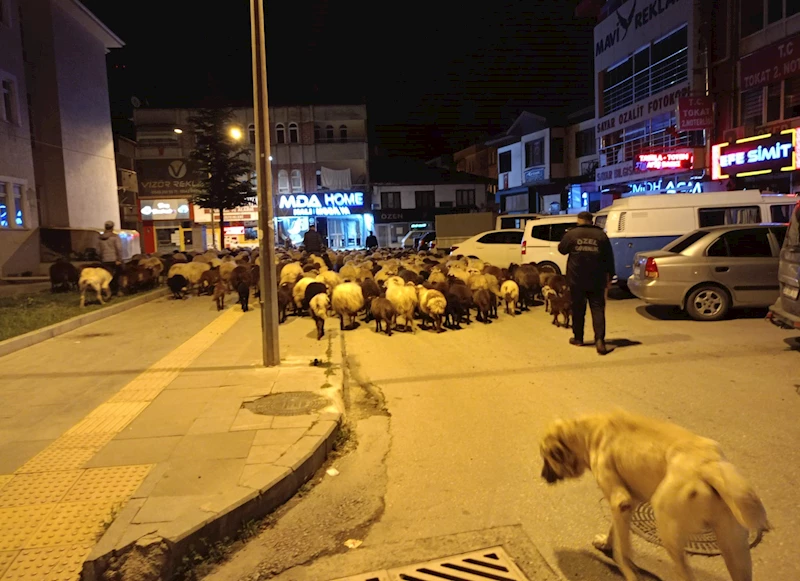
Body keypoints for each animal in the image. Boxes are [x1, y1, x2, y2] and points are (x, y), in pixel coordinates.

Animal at [536, 410, 768, 580]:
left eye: (546, 458)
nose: (542, 477)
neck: (586, 432)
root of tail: (708, 464)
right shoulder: (628, 502)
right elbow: (614, 528)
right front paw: (607, 543)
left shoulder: (620, 500)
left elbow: (624, 551)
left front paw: (626, 567)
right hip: (735, 549)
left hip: (668, 529)